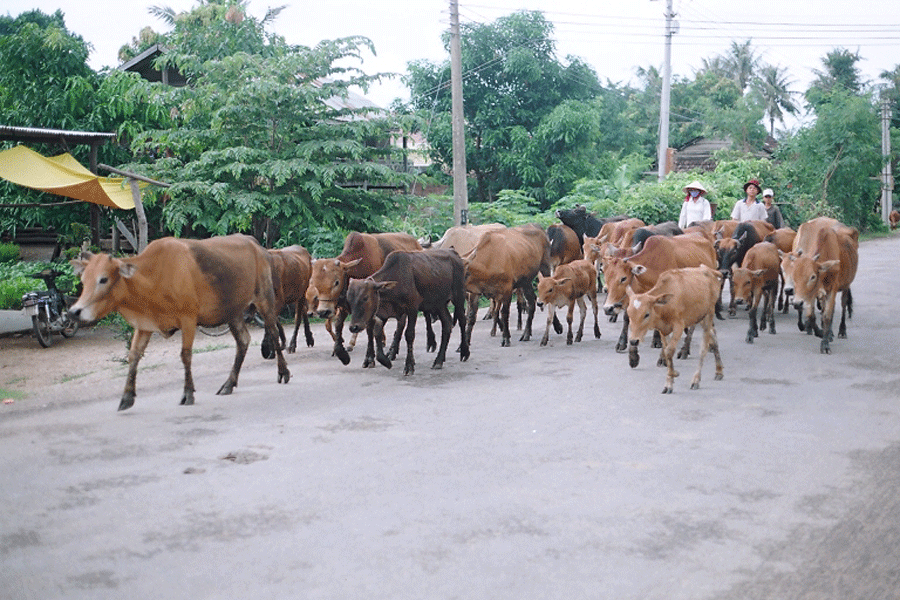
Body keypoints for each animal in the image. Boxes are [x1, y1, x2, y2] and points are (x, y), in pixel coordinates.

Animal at [306, 230, 422, 360]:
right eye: (314, 283)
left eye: (336, 282)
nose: (323, 312)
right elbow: (339, 324)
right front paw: (339, 348)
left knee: (401, 324)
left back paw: (392, 349)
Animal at [346, 248, 472, 376]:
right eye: (349, 299)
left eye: (365, 298)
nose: (354, 327)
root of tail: (452, 251)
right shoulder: (382, 314)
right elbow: (375, 333)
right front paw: (385, 361)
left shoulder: (412, 309)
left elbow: (409, 334)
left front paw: (409, 365)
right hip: (439, 304)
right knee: (447, 323)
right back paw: (439, 360)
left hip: (459, 296)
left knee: (462, 320)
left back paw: (464, 351)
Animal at [624, 264, 724, 394]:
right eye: (629, 313)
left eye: (646, 314)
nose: (633, 341)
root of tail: (710, 270)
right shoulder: (662, 330)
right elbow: (666, 352)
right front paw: (669, 382)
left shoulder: (679, 326)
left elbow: (669, 351)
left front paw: (673, 375)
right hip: (700, 316)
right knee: (714, 337)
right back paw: (719, 371)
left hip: (709, 313)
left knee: (704, 348)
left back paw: (696, 379)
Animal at [780, 218, 856, 354]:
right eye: (783, 269)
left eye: (812, 276)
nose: (788, 290)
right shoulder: (809, 293)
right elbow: (811, 315)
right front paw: (818, 331)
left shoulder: (831, 289)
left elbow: (827, 316)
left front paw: (825, 343)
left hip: (846, 285)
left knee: (843, 305)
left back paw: (841, 330)